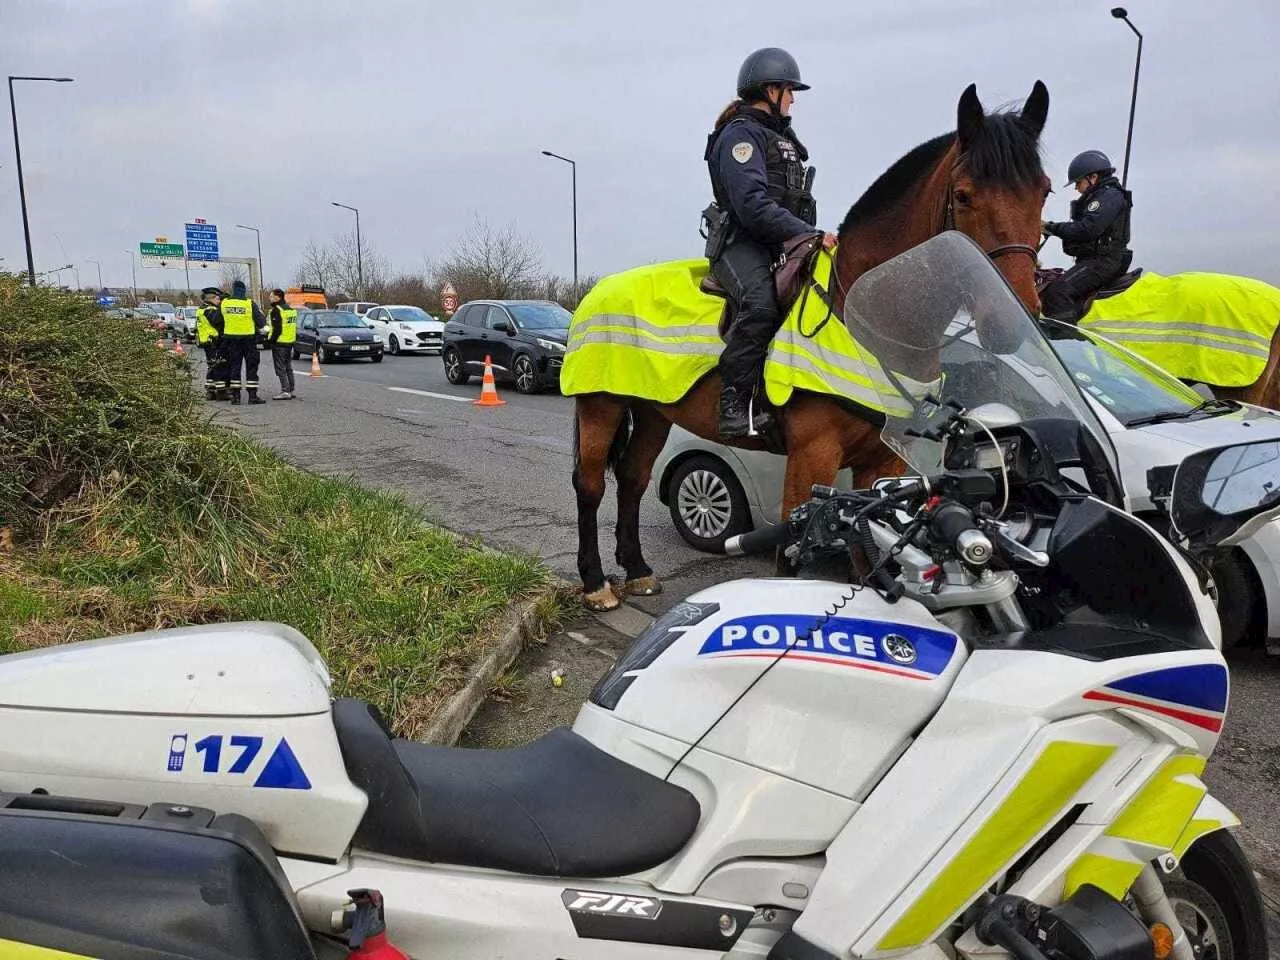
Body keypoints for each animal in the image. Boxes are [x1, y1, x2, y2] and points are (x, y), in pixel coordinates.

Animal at [576, 80, 1054, 609]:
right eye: (965, 195)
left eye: (1045, 192)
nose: (1013, 321)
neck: (865, 316)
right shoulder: (812, 457)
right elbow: (790, 559)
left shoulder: (881, 465)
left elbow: (867, 559)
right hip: (601, 406)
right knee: (591, 485)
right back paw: (596, 583)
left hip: (654, 412)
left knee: (634, 479)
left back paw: (638, 570)